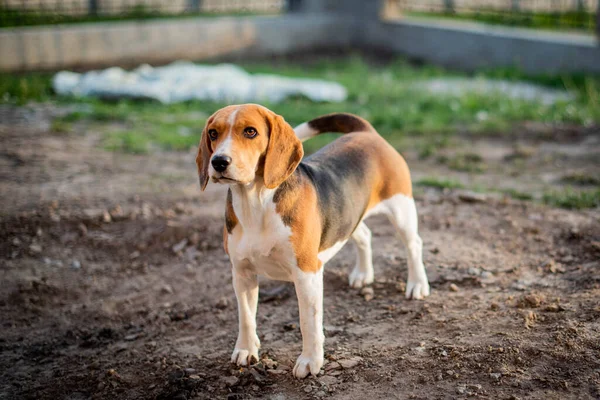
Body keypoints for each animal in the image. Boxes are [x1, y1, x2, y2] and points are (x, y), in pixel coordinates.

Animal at [198, 103, 432, 378]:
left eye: (250, 131)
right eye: (213, 133)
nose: (219, 161)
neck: (255, 202)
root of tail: (367, 132)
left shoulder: (306, 273)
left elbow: (307, 322)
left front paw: (310, 361)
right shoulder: (241, 272)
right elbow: (245, 317)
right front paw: (246, 350)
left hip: (401, 209)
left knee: (414, 244)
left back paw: (417, 284)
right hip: (349, 217)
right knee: (364, 234)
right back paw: (363, 274)